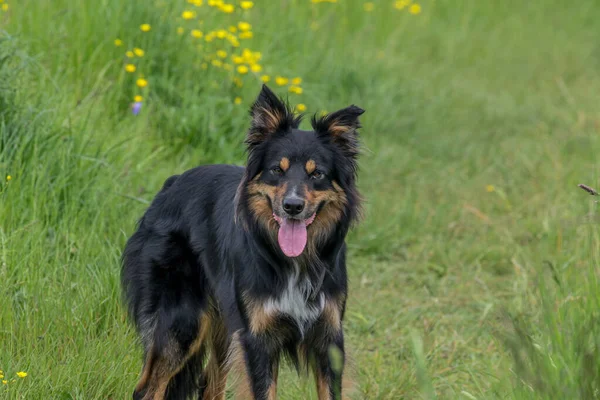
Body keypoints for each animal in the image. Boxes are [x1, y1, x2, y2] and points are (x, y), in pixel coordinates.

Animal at [122, 85, 364, 400]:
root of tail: (170, 185)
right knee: (148, 389)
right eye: (277, 170)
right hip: (182, 320)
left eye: (317, 174)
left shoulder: (328, 336)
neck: (295, 261)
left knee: (209, 384)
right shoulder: (257, 338)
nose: (292, 206)